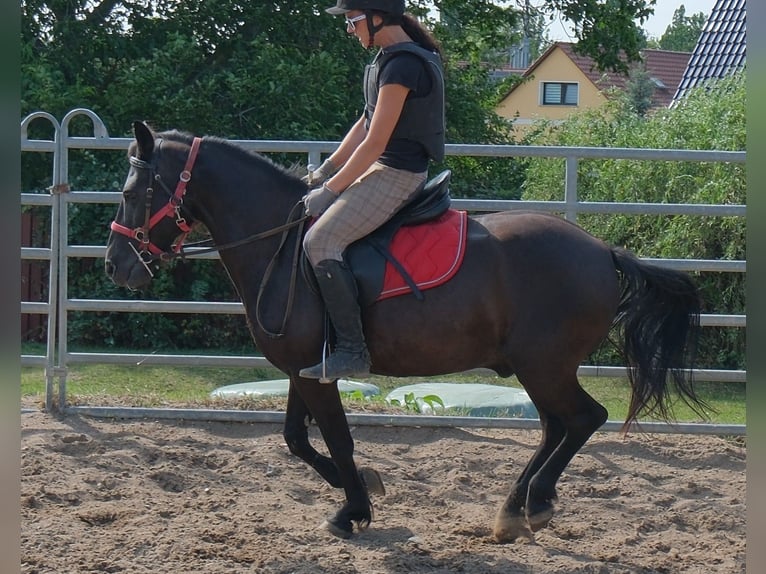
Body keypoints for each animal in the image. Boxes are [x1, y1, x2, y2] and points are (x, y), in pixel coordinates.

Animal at [105, 121, 706, 541]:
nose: (116, 266)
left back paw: (530, 504)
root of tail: (603, 251)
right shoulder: (303, 368)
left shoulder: (319, 371)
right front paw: (360, 488)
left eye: (134, 193)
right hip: (541, 369)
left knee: (582, 419)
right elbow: (297, 439)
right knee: (557, 426)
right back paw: (519, 507)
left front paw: (352, 510)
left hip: (545, 365)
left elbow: (338, 439)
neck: (281, 244)